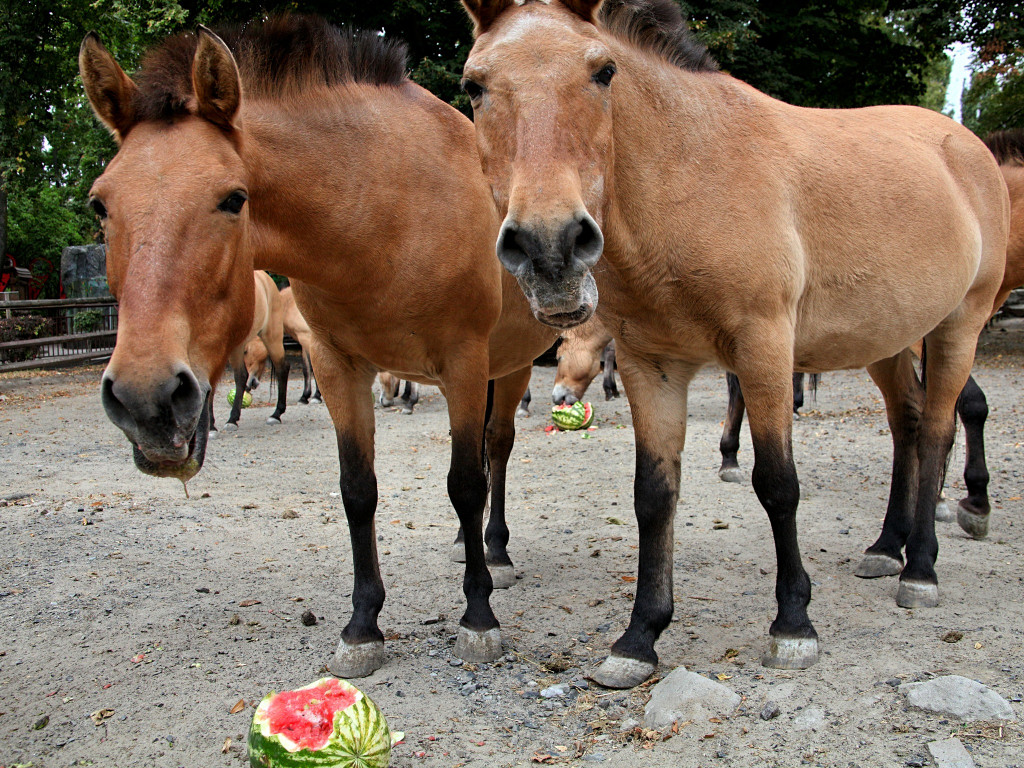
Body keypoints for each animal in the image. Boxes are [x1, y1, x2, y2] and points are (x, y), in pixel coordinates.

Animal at [82, 15, 557, 679]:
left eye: (233, 198)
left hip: (507, 368)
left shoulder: (463, 363)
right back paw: (467, 544)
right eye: (100, 203)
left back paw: (495, 553)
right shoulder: (338, 367)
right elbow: (358, 490)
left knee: (496, 451)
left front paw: (478, 617)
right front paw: (363, 626)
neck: (384, 209)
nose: (145, 401)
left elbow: (465, 483)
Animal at [462, 0, 1007, 688]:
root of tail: (967, 147)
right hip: (889, 342)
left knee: (937, 429)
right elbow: (653, 496)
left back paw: (922, 568)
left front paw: (793, 624)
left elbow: (777, 482)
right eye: (473, 85)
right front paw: (639, 637)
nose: (548, 247)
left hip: (958, 326)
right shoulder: (651, 366)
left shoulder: (764, 347)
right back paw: (888, 547)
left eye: (603, 71)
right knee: (907, 426)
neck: (692, 177)